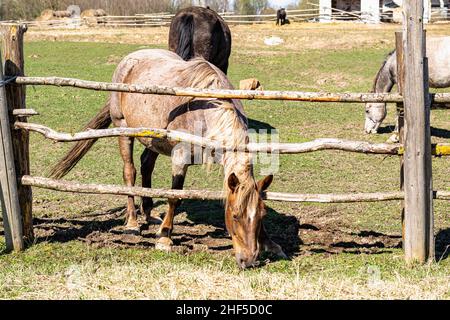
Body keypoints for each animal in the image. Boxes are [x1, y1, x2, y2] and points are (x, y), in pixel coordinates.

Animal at [50, 48, 284, 268]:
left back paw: (149, 213)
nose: (249, 260)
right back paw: (133, 223)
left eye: (261, 215)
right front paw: (164, 238)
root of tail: (129, 59)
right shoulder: (180, 158)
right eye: (235, 215)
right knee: (129, 172)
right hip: (124, 130)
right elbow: (174, 197)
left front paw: (270, 243)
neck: (206, 109)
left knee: (146, 166)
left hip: (153, 137)